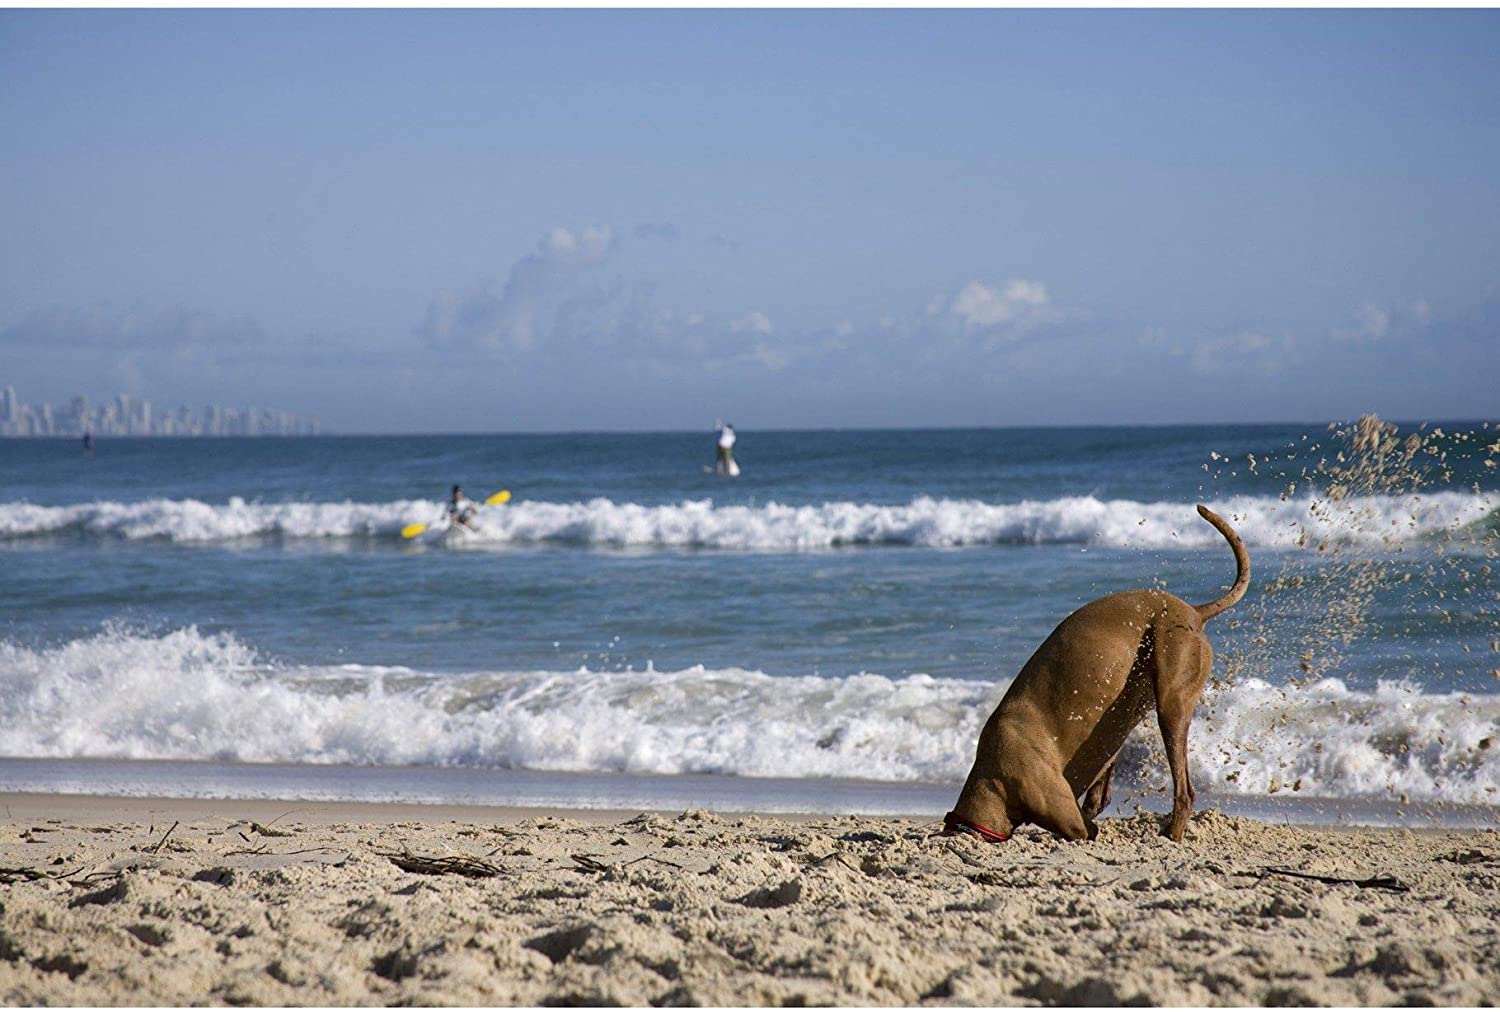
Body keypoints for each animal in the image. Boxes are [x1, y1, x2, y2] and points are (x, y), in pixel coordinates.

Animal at [948, 506, 1254, 845]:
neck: (993, 777)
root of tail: (1194, 612)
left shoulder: (1066, 816)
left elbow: (1085, 827)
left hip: (1171, 705)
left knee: (1184, 792)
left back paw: (1171, 834)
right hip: (1125, 712)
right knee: (1104, 786)